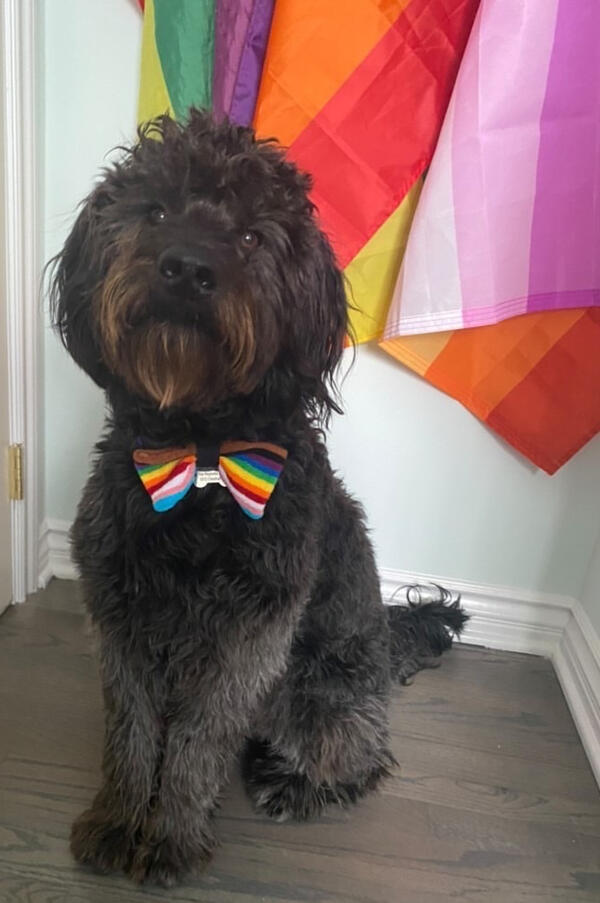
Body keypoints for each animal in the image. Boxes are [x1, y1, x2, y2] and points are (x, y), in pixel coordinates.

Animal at [49, 109, 466, 888]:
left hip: (318, 698)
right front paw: (118, 821)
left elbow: (197, 741)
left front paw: (173, 838)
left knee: (361, 756)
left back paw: (293, 783)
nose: (187, 267)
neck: (202, 460)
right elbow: (130, 731)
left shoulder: (249, 636)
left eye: (250, 235)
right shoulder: (120, 616)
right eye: (155, 210)